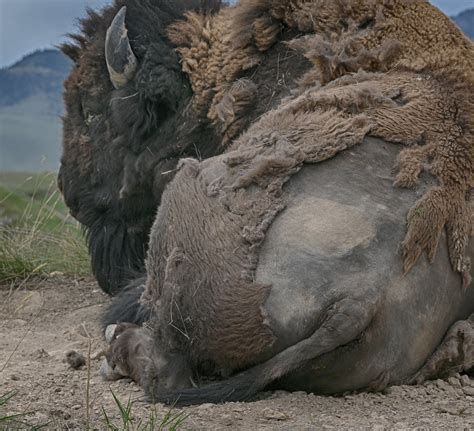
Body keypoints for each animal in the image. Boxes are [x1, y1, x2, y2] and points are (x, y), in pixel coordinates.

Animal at [60, 0, 474, 404]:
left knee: (167, 371)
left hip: (188, 191)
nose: (68, 190)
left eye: (91, 110)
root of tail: (359, 298)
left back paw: (115, 346)